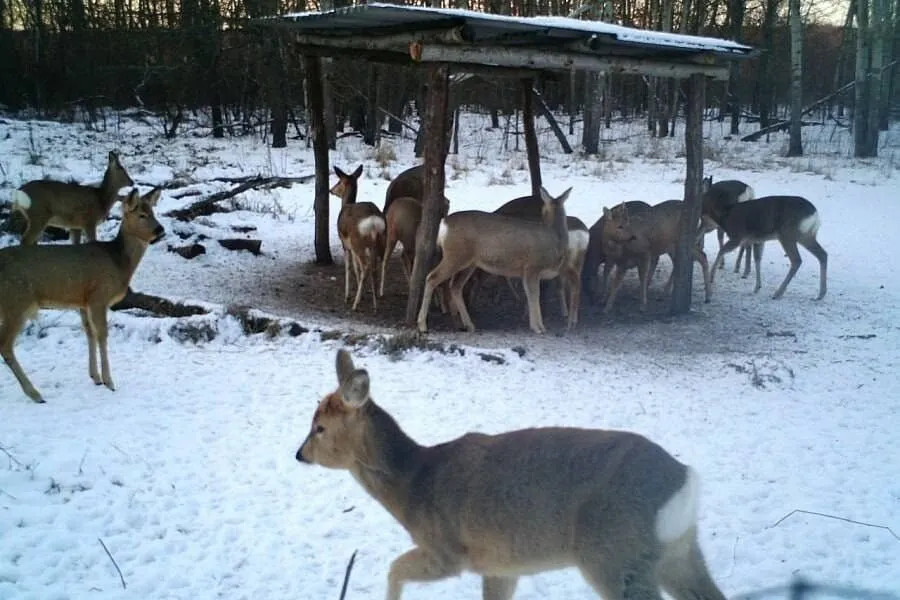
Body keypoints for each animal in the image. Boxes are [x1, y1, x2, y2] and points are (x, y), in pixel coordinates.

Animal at [0, 188, 165, 404]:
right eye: (141, 215)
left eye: (153, 212)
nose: (160, 230)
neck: (119, 263)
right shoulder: (99, 296)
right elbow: (102, 334)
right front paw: (109, 381)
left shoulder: (83, 300)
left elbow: (89, 333)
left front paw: (95, 376)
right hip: (16, 301)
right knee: (5, 345)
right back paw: (35, 394)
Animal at [298, 346, 728, 600]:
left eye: (319, 427)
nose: (299, 454)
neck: (415, 486)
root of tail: (684, 481)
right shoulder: (499, 564)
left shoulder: (449, 551)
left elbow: (393, 570)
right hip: (678, 551)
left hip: (614, 553)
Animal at [330, 165, 386, 312]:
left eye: (339, 181)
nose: (331, 190)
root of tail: (373, 221)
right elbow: (356, 268)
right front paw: (362, 296)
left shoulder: (345, 244)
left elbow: (350, 268)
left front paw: (347, 296)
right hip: (380, 241)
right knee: (375, 267)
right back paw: (375, 304)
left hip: (358, 242)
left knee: (366, 267)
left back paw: (355, 305)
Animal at [416, 185, 568, 336]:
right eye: (542, 208)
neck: (554, 239)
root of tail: (443, 225)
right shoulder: (531, 267)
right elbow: (534, 295)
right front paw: (538, 327)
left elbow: (533, 295)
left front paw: (538, 325)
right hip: (455, 255)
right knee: (432, 277)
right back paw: (422, 325)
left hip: (468, 263)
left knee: (455, 286)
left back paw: (469, 325)